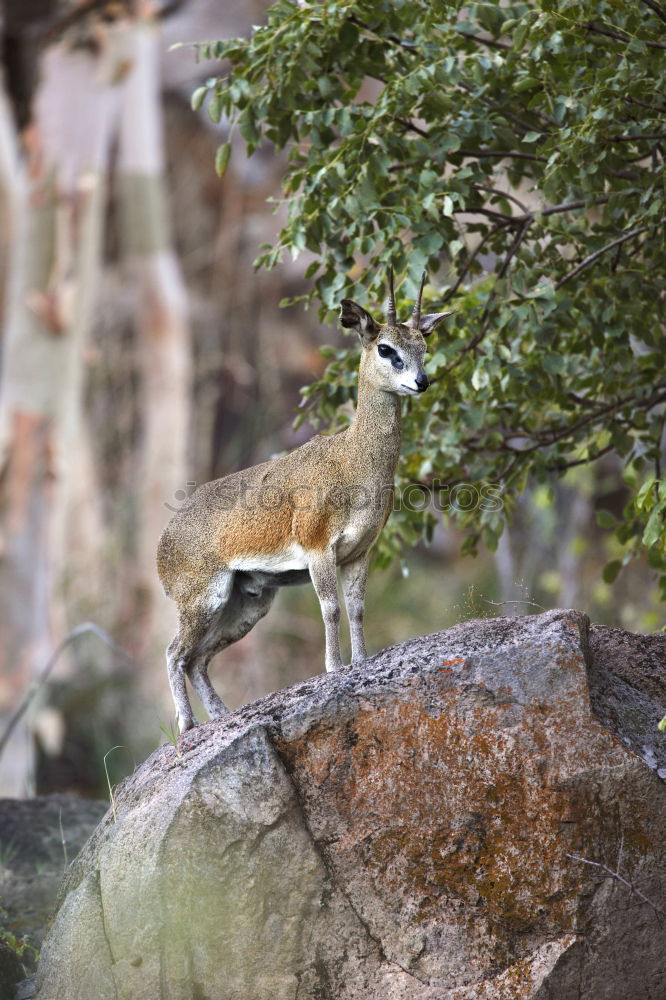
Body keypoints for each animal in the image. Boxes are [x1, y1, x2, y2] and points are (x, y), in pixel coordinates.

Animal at [158, 270, 454, 732]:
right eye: (385, 348)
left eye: (424, 346)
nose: (421, 382)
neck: (352, 462)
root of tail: (161, 549)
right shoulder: (319, 549)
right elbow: (330, 608)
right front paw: (334, 667)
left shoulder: (359, 551)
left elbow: (357, 607)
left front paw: (362, 660)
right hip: (202, 598)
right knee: (175, 652)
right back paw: (187, 726)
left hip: (247, 602)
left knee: (198, 658)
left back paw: (221, 716)